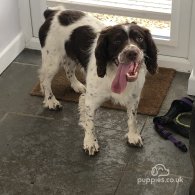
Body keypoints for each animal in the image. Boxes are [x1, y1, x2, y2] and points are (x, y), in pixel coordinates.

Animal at [38, 5, 158, 155]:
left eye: (140, 38)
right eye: (117, 41)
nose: (132, 52)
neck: (113, 73)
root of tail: (53, 12)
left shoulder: (134, 98)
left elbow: (132, 118)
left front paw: (133, 136)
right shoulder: (91, 101)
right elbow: (90, 123)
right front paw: (90, 142)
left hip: (70, 56)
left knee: (68, 69)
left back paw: (77, 85)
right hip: (52, 60)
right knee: (45, 80)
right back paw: (51, 101)